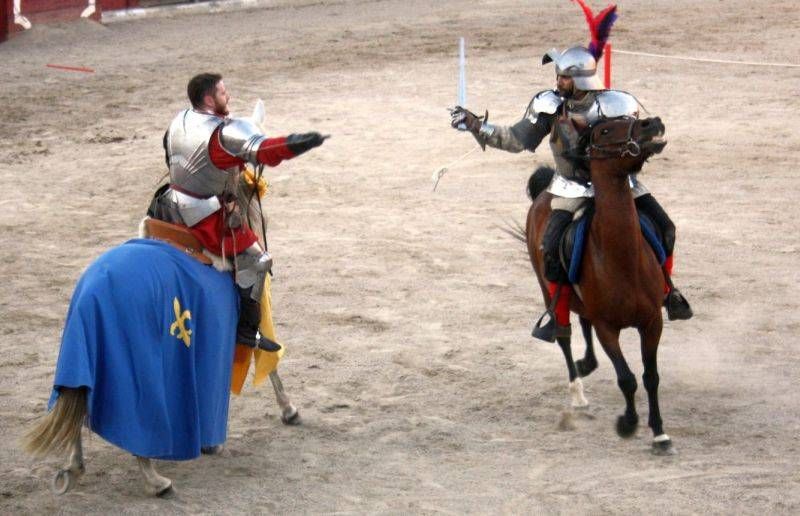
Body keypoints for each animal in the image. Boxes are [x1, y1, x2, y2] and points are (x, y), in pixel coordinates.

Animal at [524, 116, 676, 452]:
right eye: (604, 130)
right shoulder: (608, 328)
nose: (653, 122)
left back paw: (588, 364)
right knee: (564, 334)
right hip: (548, 288)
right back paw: (578, 392)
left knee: (583, 323)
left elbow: (651, 376)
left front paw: (660, 433)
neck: (623, 260)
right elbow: (627, 378)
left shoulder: (652, 322)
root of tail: (544, 193)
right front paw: (627, 423)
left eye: (632, 118)